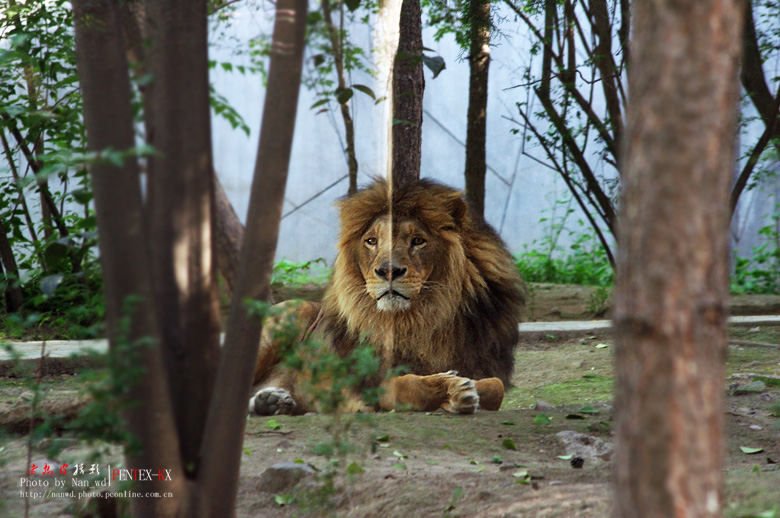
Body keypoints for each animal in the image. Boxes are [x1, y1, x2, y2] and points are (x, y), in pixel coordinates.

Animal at [250, 181, 524, 416]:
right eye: (371, 241)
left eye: (418, 241)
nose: (387, 271)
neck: (423, 320)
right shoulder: (368, 386)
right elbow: (410, 385)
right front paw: (453, 387)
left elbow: (496, 387)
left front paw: (460, 393)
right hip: (293, 312)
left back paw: (271, 401)